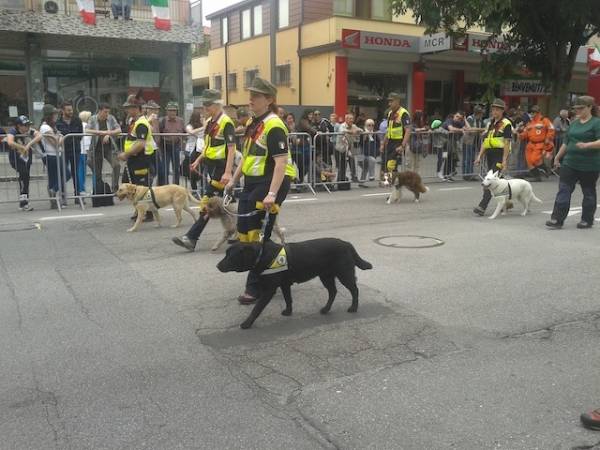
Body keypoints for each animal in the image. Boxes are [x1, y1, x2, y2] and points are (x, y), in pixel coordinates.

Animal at [218, 237, 372, 328]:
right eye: (226, 254)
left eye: (230, 256)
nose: (217, 266)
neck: (263, 256)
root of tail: (347, 243)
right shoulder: (285, 284)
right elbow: (288, 299)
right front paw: (288, 311)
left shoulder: (270, 290)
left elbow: (257, 309)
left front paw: (247, 323)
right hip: (326, 276)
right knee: (333, 292)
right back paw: (326, 309)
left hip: (344, 274)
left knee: (354, 290)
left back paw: (353, 308)